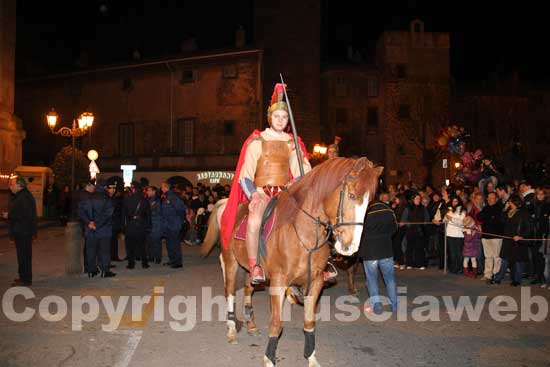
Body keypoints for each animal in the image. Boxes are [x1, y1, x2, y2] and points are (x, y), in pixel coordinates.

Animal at [201, 157, 386, 367]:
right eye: (352, 195)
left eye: (370, 202)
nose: (350, 246)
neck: (304, 233)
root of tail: (226, 204)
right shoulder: (278, 282)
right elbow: (276, 323)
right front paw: (269, 358)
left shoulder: (316, 281)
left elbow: (309, 321)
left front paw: (311, 357)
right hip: (230, 262)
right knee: (230, 293)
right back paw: (232, 330)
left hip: (249, 268)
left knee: (248, 288)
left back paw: (251, 325)